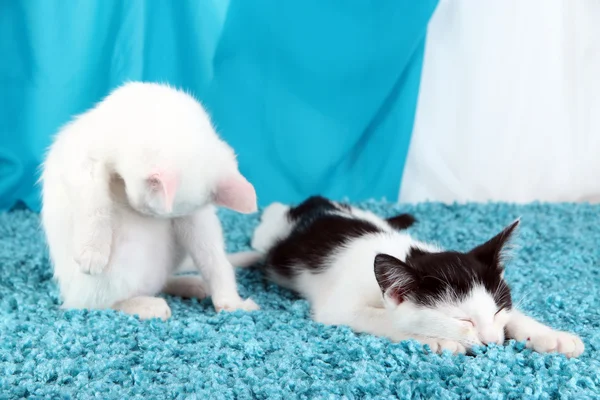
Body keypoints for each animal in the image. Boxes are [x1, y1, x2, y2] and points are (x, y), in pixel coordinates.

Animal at [40, 83, 260, 320]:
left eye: (151, 211)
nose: (139, 212)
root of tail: (69, 294)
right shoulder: (84, 162)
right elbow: (95, 205)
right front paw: (92, 251)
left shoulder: (195, 218)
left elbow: (212, 256)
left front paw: (231, 302)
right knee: (95, 303)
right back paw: (148, 305)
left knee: (157, 282)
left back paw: (187, 285)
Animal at [237, 197, 584, 356]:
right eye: (462, 320)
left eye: (498, 311)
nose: (493, 343)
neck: (406, 252)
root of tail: (314, 203)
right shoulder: (339, 306)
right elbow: (386, 318)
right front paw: (439, 339)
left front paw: (550, 335)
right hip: (269, 229)